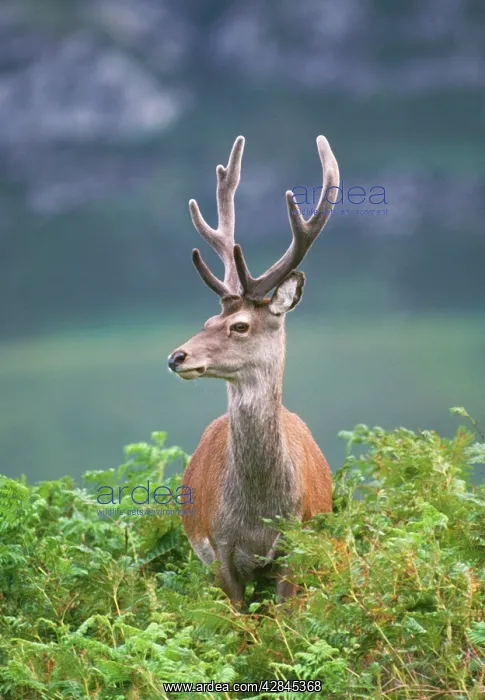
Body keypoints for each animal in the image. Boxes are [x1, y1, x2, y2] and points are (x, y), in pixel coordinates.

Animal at [167, 134, 339, 605]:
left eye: (239, 325)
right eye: (208, 321)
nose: (177, 357)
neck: (260, 515)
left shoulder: (297, 544)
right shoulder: (219, 548)